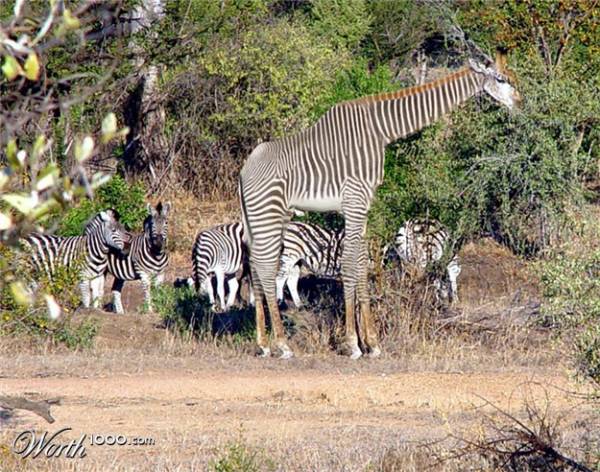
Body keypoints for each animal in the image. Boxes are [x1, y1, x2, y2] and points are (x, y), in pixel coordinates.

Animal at [239, 54, 520, 358]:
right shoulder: (355, 200)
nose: (521, 104)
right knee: (266, 266)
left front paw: (370, 342)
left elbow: (362, 264)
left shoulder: (362, 206)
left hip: (262, 217)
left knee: (256, 265)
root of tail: (244, 170)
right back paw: (281, 344)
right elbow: (351, 264)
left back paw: (263, 343)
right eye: (502, 79)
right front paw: (353, 343)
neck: (381, 129)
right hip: (268, 212)